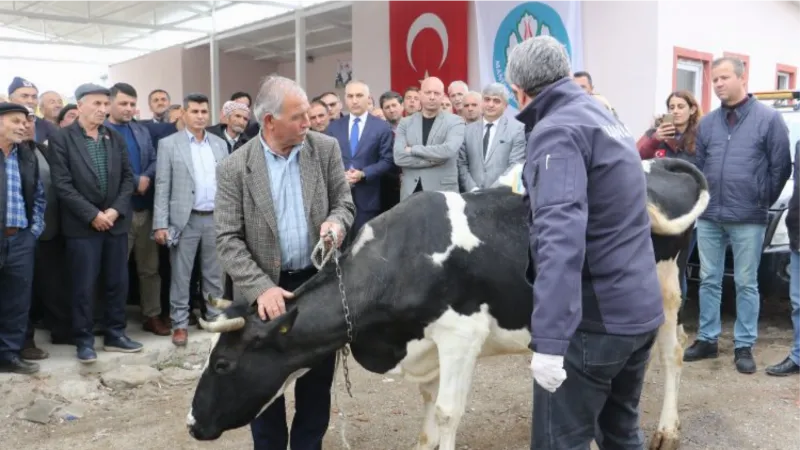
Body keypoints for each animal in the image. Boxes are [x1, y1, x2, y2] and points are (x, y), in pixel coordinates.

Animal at [186, 157, 708, 450]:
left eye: (224, 364)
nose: (192, 424)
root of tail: (657, 163)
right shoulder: (426, 349)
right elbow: (427, 410)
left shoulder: (461, 337)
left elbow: (445, 412)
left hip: (667, 286)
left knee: (671, 352)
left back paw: (668, 429)